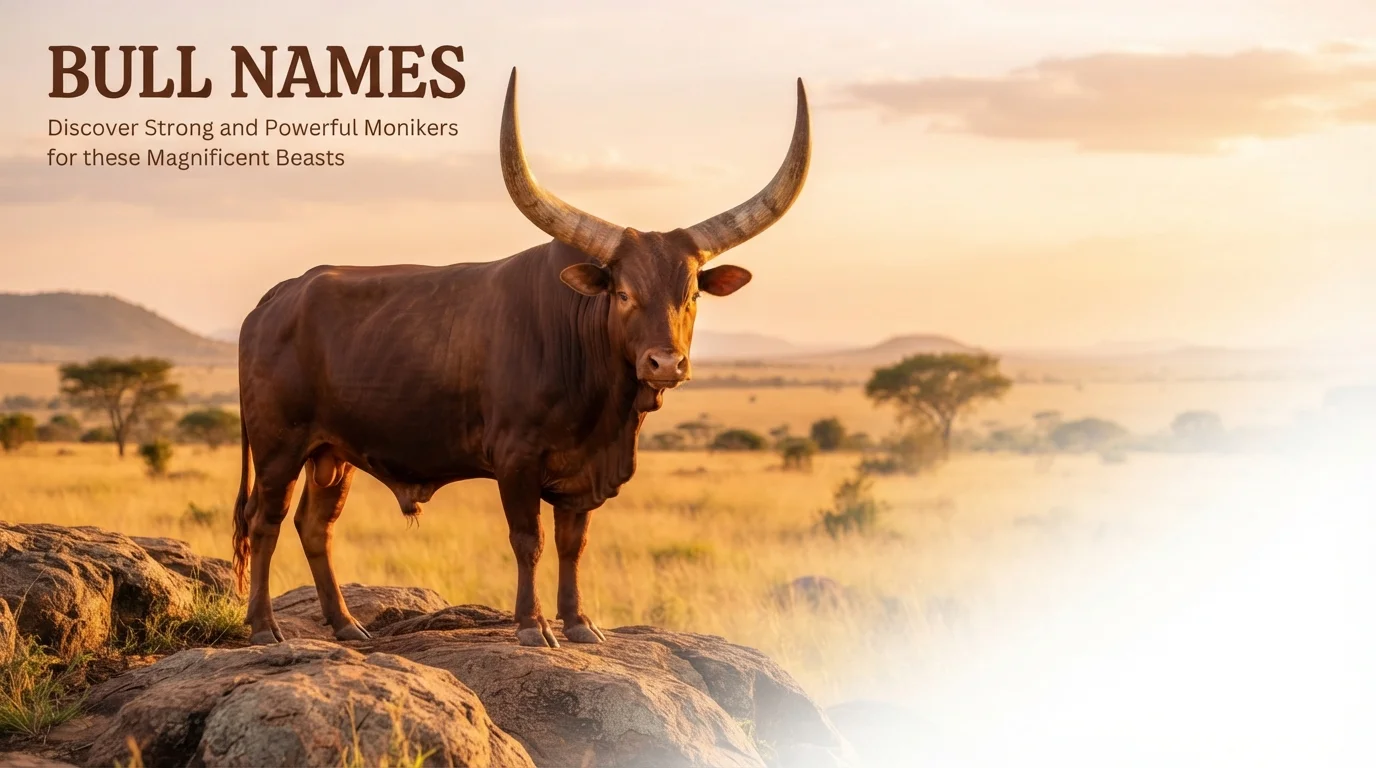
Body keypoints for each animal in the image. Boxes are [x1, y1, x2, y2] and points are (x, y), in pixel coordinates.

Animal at [232, 68, 810, 647]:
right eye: (623, 293)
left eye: (691, 294)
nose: (665, 364)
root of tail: (280, 294)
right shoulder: (515, 459)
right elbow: (527, 539)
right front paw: (532, 625)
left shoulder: (581, 476)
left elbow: (573, 544)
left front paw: (578, 622)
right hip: (279, 448)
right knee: (265, 522)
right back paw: (264, 626)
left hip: (332, 454)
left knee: (315, 526)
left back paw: (346, 624)